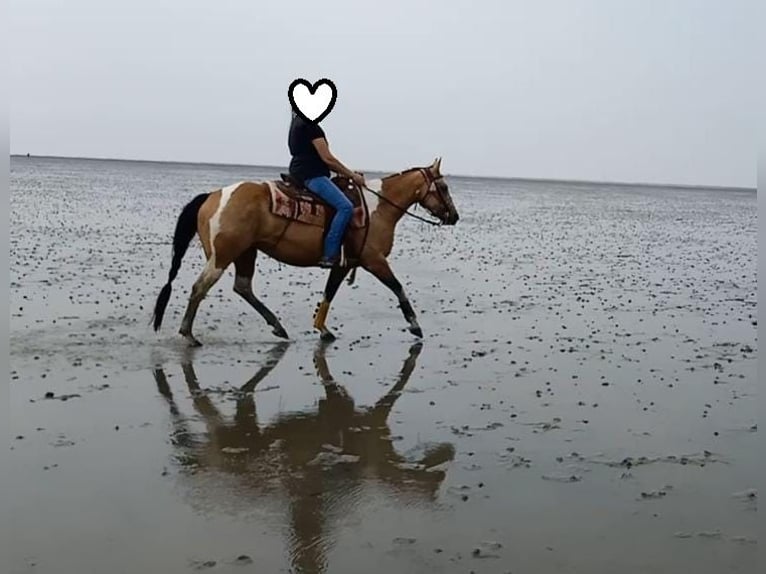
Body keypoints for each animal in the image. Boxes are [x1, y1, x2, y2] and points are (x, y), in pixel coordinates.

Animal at [150, 157, 459, 346]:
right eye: (443, 186)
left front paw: (323, 329)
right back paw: (188, 334)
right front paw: (415, 325)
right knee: (199, 288)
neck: (378, 208)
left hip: (246, 252)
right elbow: (397, 286)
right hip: (222, 256)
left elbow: (329, 293)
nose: (454, 216)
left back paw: (278, 326)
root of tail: (213, 196)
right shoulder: (373, 260)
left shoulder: (344, 263)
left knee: (243, 287)